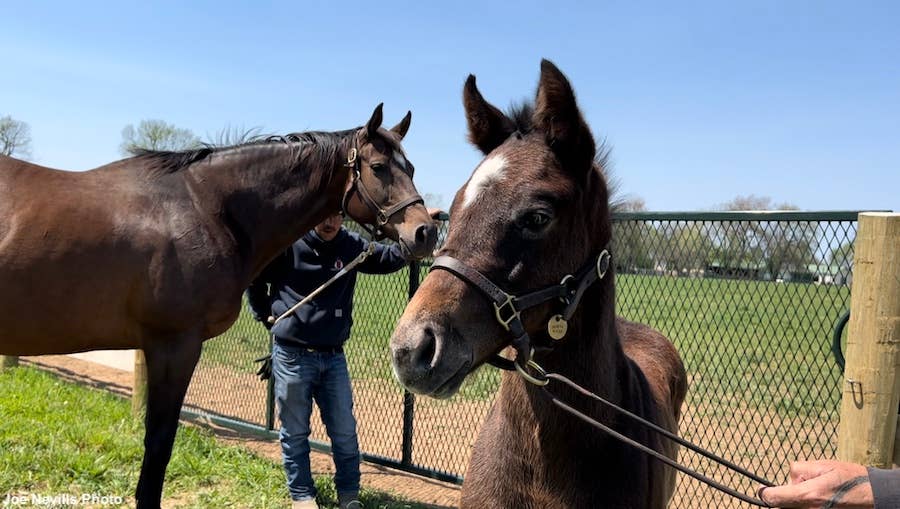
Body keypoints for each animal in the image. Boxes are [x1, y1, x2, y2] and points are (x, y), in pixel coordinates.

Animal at [0, 104, 437, 508]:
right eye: (378, 167)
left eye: (412, 167)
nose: (425, 232)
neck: (204, 208)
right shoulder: (174, 345)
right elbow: (158, 441)